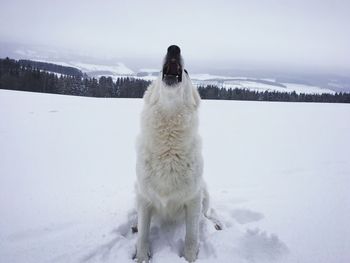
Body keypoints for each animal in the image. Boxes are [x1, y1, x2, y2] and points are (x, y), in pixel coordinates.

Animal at [134, 45, 219, 263]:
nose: (173, 48)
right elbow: (143, 234)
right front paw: (141, 256)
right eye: (158, 71)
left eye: (186, 72)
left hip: (204, 193)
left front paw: (189, 257)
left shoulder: (193, 199)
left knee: (204, 217)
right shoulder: (144, 198)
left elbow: (191, 236)